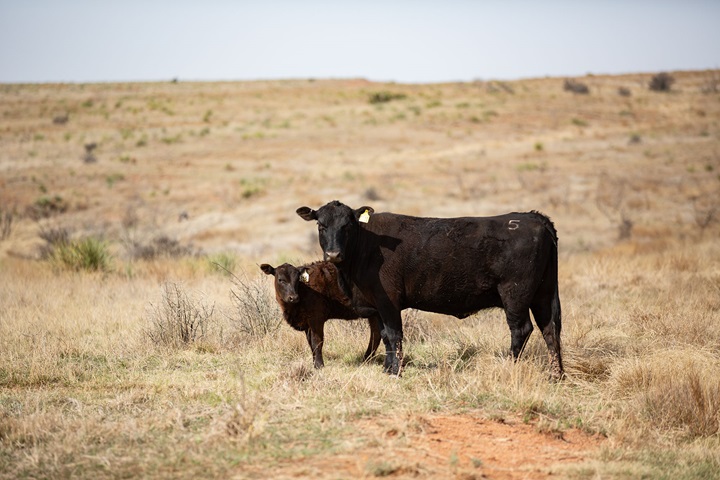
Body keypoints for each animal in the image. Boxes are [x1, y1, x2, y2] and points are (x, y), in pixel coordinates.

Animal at [296, 201, 564, 376]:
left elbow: (394, 334)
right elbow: (384, 335)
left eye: (347, 226)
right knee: (550, 328)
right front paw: (387, 369)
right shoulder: (377, 305)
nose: (333, 254)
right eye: (321, 226)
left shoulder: (388, 301)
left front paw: (396, 371)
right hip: (543, 293)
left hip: (515, 294)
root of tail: (534, 217)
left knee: (521, 329)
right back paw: (557, 375)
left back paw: (510, 366)